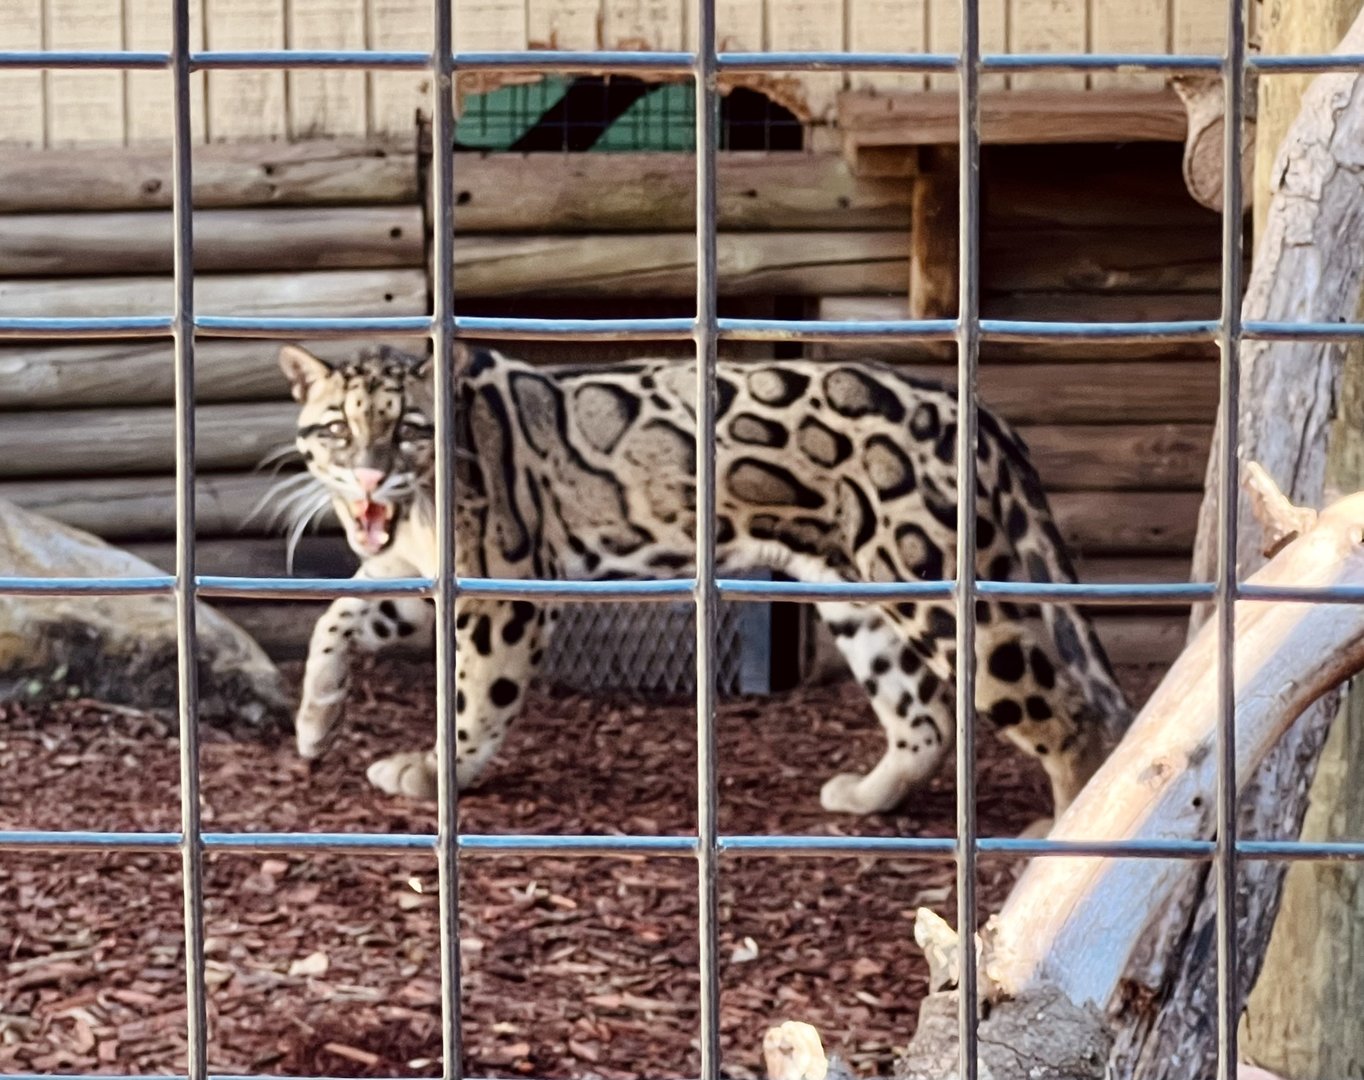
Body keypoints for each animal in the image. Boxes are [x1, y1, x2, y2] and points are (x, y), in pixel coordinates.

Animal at [278, 341, 1133, 820]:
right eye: (338, 427)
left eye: (407, 428)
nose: (368, 476)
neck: (415, 509)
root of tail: (974, 408)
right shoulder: (410, 573)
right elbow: (336, 614)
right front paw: (315, 721)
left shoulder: (504, 588)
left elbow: (475, 701)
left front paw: (433, 770)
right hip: (854, 589)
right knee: (923, 719)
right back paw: (868, 794)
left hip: (936, 580)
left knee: (1072, 718)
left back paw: (1059, 843)